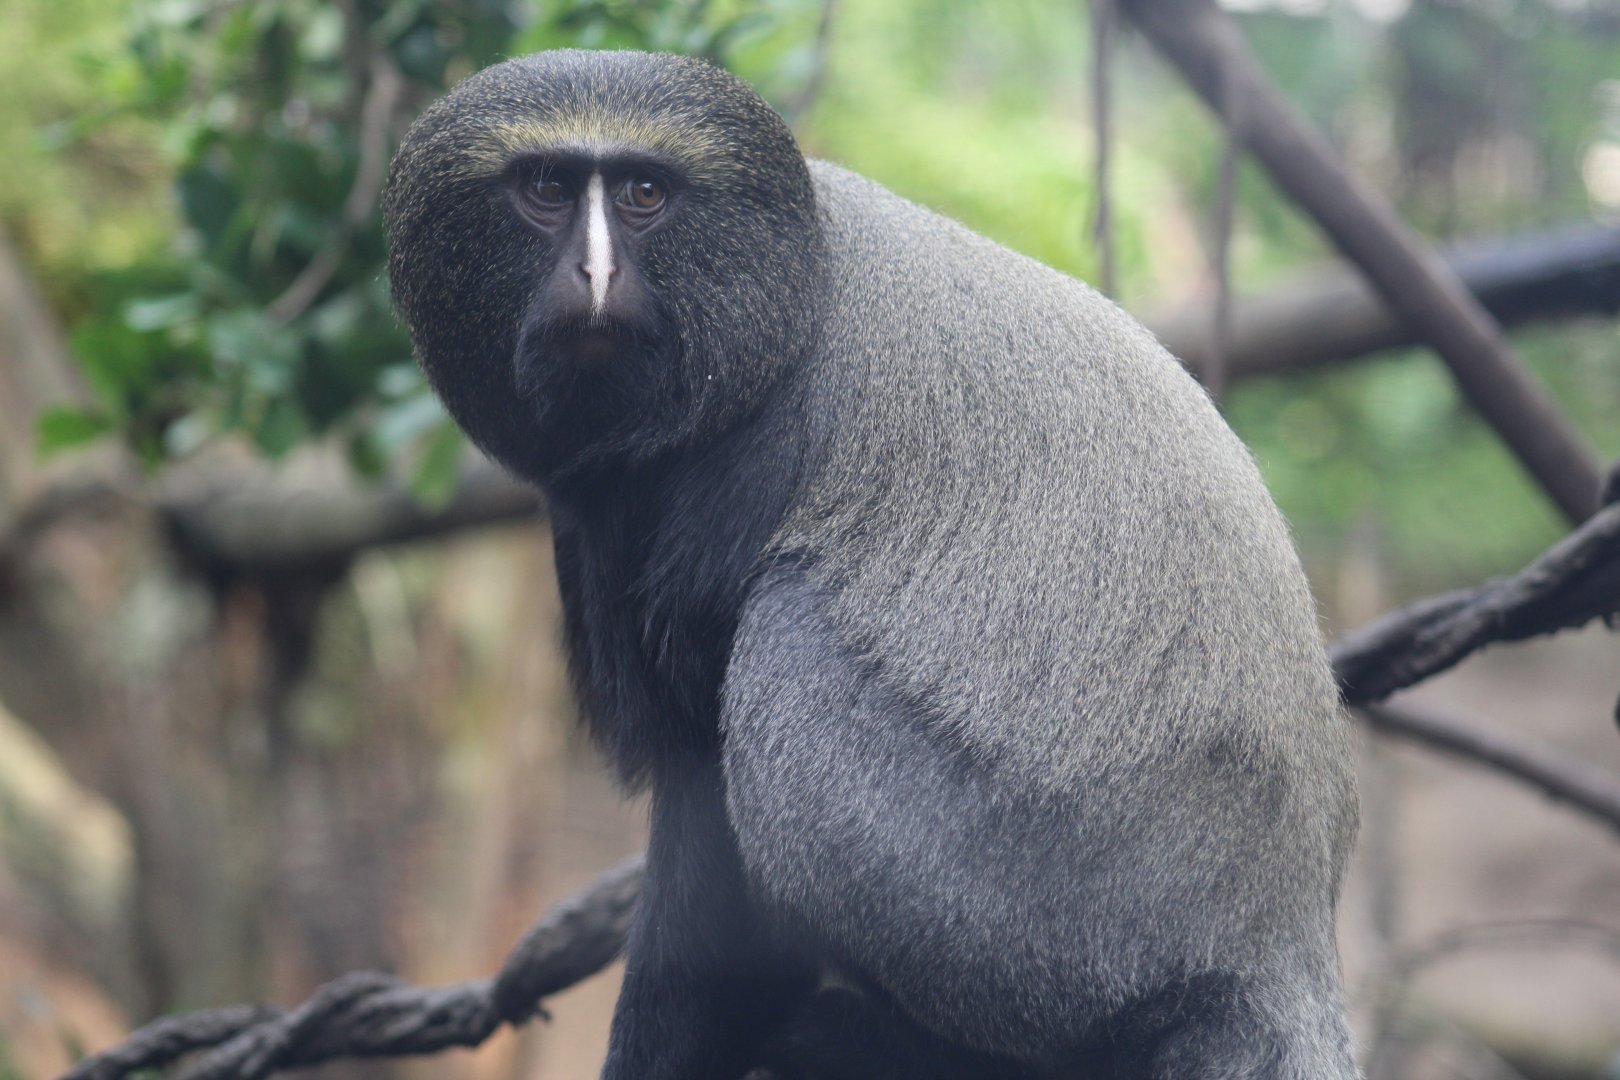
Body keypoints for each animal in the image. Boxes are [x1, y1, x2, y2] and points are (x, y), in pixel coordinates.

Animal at [384, 49, 1360, 1079]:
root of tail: (1276, 938)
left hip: (1038, 912)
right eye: (546, 189)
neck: (784, 296)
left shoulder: (755, 463)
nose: (597, 272)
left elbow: (707, 824)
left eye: (644, 194)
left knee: (785, 635)